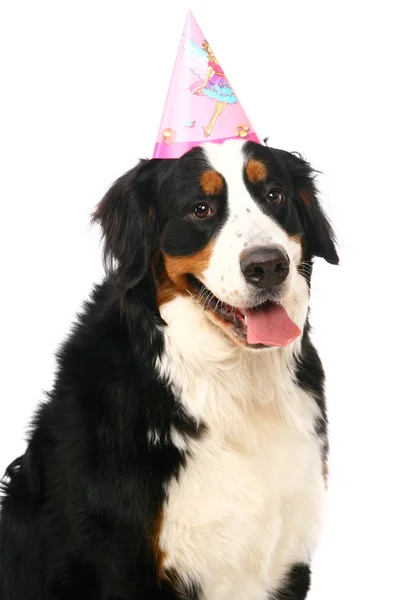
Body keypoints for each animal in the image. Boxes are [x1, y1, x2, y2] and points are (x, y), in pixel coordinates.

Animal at [0, 141, 338, 600]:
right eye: (200, 209)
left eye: (274, 196)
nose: (268, 265)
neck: (230, 381)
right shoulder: (128, 566)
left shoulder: (286, 555)